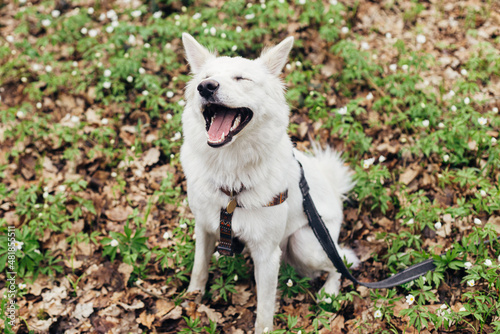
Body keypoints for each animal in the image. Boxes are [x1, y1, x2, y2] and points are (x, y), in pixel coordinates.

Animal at [180, 32, 360, 334]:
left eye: (241, 78)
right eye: (205, 77)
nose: (206, 87)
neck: (231, 173)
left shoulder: (267, 254)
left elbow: (264, 308)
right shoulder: (204, 226)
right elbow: (198, 268)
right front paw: (193, 300)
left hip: (304, 243)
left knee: (339, 263)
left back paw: (329, 293)